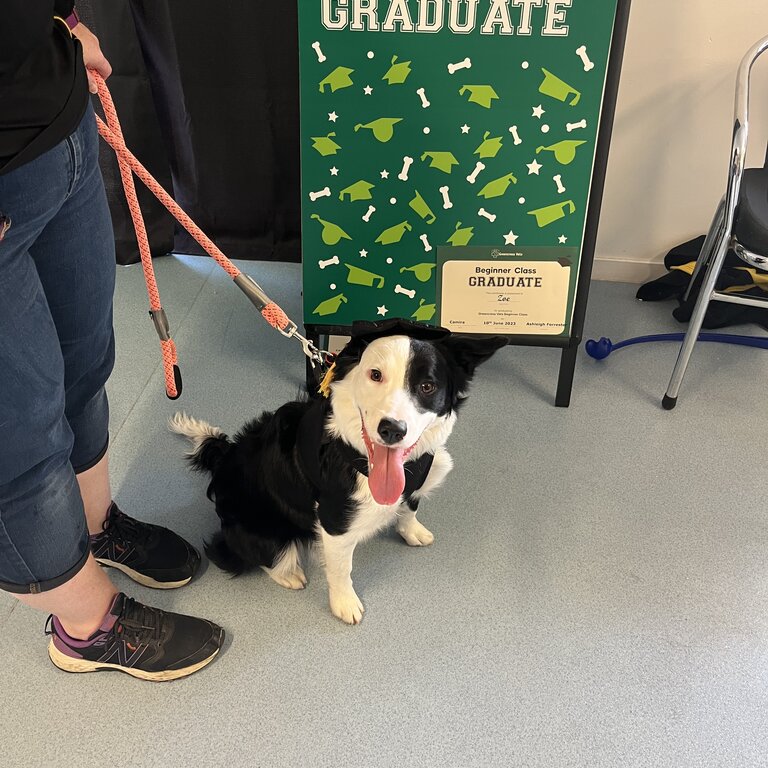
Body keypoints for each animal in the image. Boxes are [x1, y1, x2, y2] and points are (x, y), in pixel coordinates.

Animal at [170, 318, 504, 624]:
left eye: (427, 386)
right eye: (375, 375)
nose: (392, 430)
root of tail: (223, 459)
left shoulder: (417, 478)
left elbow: (410, 506)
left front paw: (412, 531)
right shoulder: (334, 521)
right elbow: (342, 568)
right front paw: (344, 603)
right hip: (260, 528)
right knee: (242, 553)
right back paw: (287, 572)